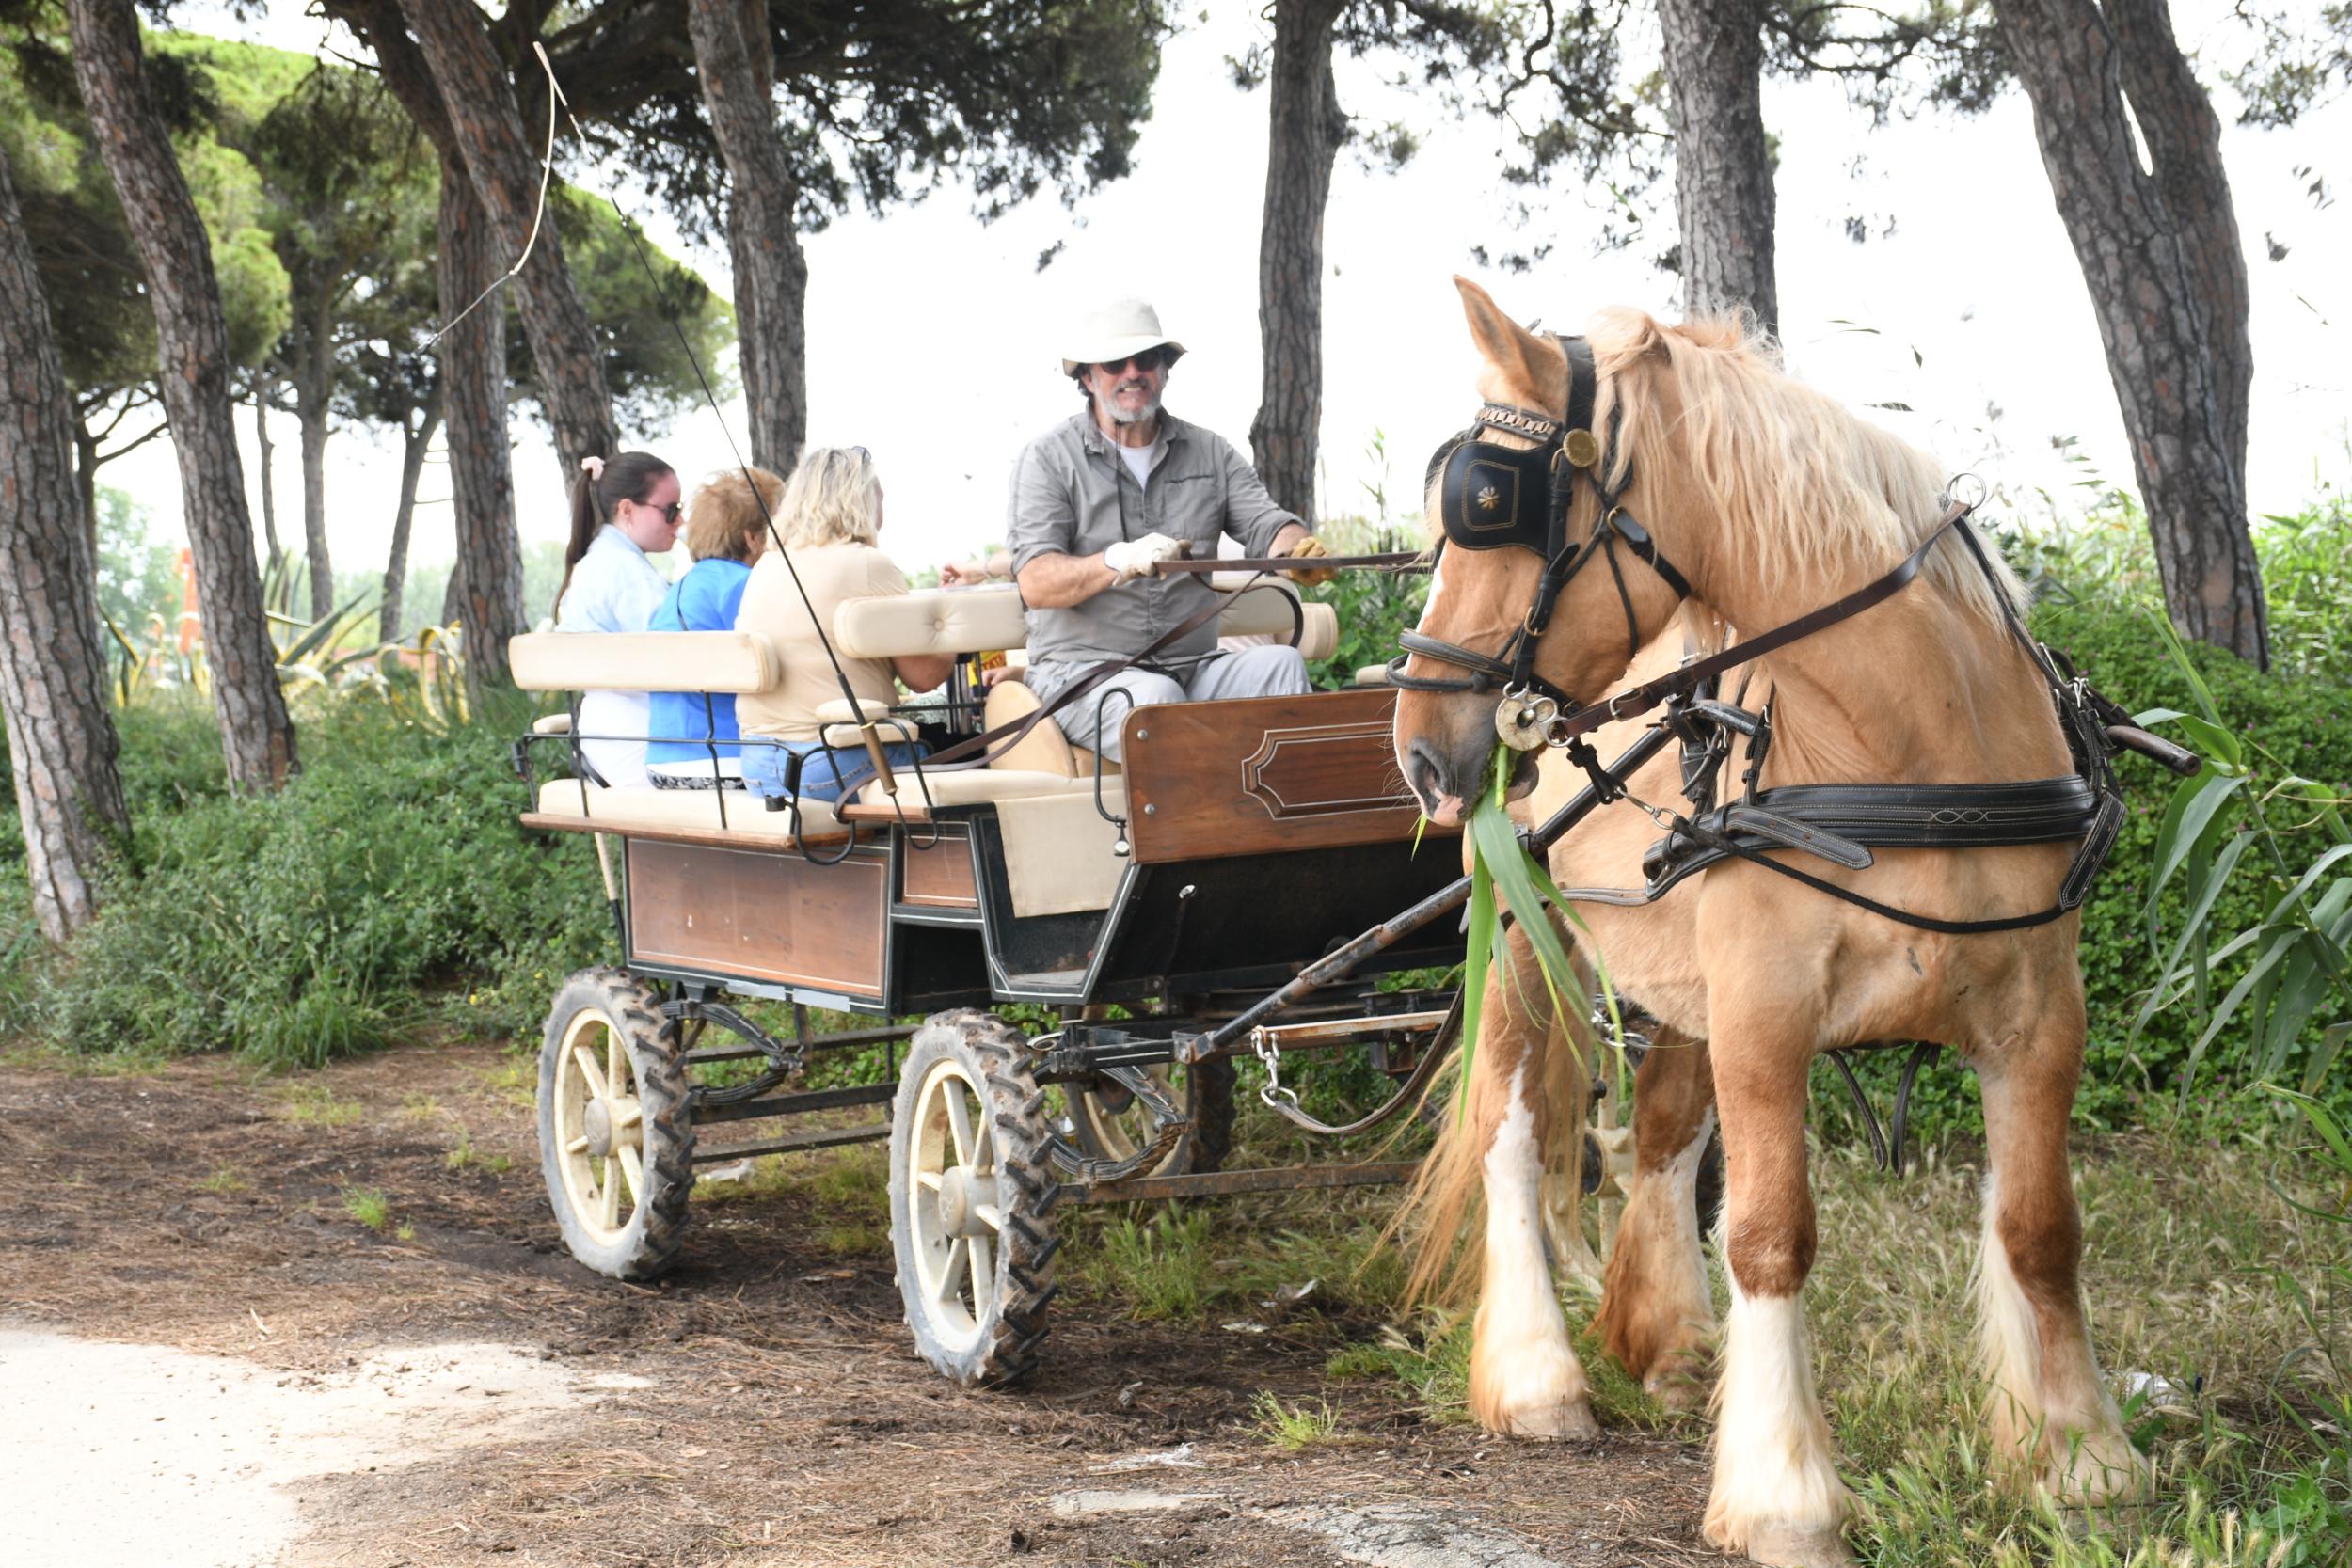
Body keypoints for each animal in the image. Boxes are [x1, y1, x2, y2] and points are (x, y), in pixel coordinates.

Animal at [1391, 278, 2149, 1567]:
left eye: (1486, 497)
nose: (1417, 743)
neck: (1908, 744)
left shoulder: (2039, 1018)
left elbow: (2041, 1227)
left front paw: (2079, 1458)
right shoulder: (1766, 1013)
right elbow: (1769, 1232)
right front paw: (1784, 1491)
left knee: (1656, 1132)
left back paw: (1673, 1346)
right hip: (1529, 938)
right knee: (1511, 1131)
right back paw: (1541, 1377)